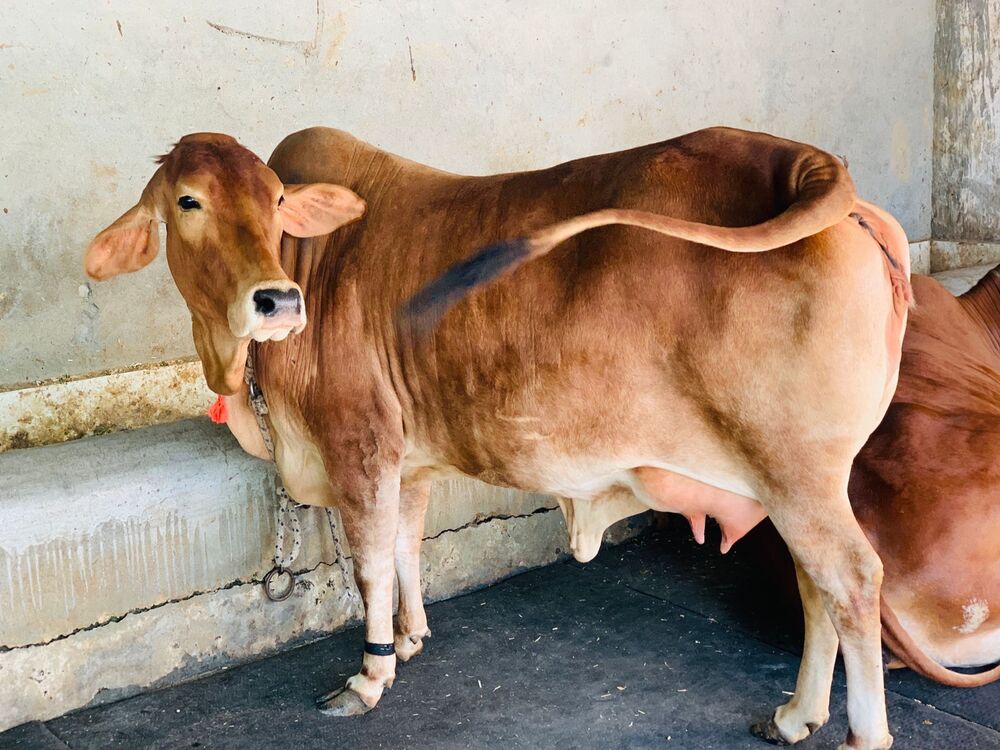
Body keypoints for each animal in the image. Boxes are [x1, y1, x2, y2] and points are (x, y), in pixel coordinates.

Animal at [84, 126, 910, 750]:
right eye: (188, 200)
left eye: (278, 201)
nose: (277, 301)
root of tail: (808, 163)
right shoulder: (409, 461)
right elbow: (408, 549)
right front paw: (410, 639)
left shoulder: (360, 447)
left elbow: (371, 566)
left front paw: (370, 675)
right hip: (791, 480)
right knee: (815, 586)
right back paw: (795, 715)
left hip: (796, 473)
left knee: (852, 581)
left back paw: (859, 735)